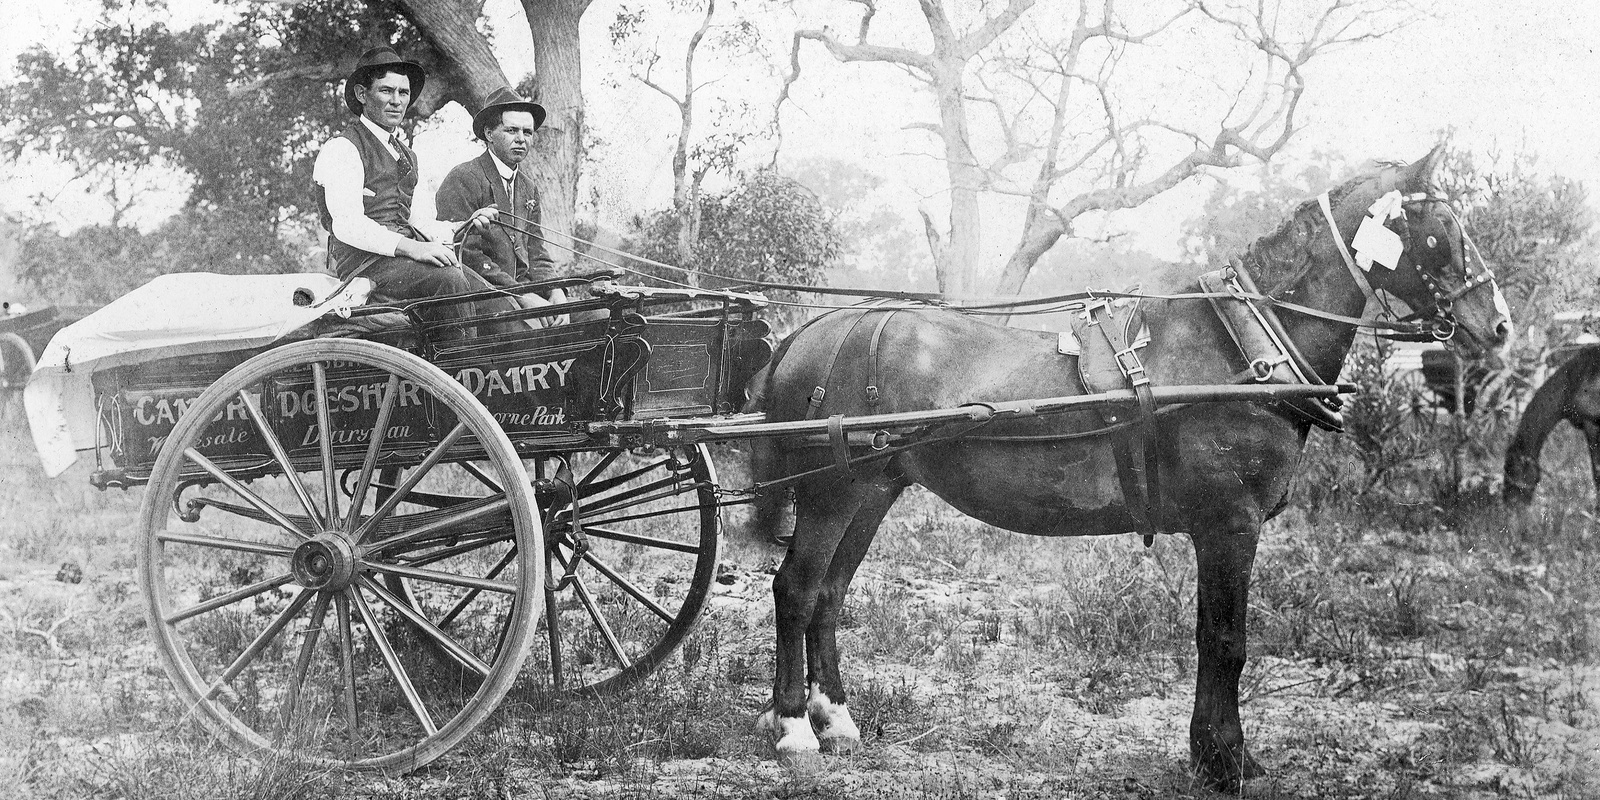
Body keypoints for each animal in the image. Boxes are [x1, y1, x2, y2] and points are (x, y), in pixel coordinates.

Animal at [745, 150, 1510, 793]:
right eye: (1440, 228)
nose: (1498, 323)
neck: (1240, 351)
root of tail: (813, 331)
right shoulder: (1229, 526)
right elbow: (1225, 642)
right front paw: (1224, 760)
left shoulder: (1223, 530)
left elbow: (1214, 639)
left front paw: (1218, 755)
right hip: (830, 494)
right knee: (795, 589)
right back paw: (793, 728)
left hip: (872, 491)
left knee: (830, 594)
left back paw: (837, 719)